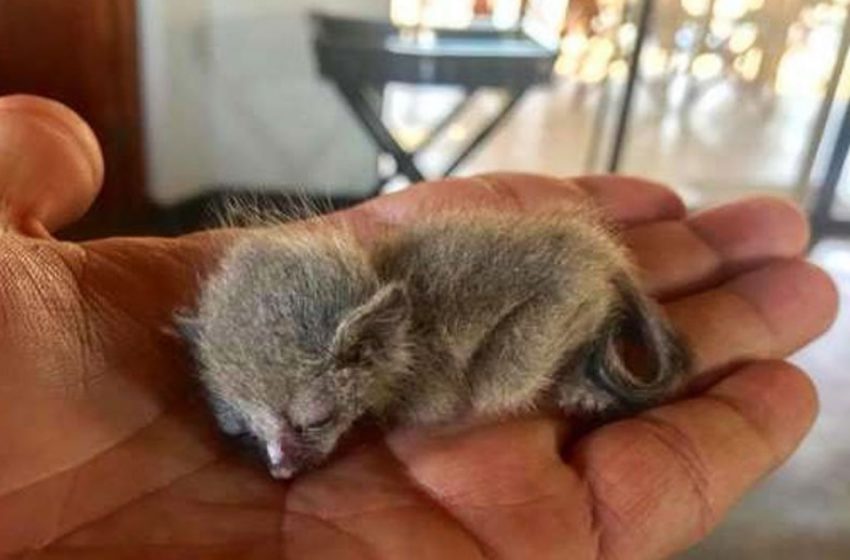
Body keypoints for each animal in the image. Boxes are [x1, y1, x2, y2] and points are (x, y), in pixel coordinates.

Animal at [179, 208, 688, 480]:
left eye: (315, 422)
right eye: (245, 430)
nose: (279, 469)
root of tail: (599, 249)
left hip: (567, 297)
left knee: (503, 380)